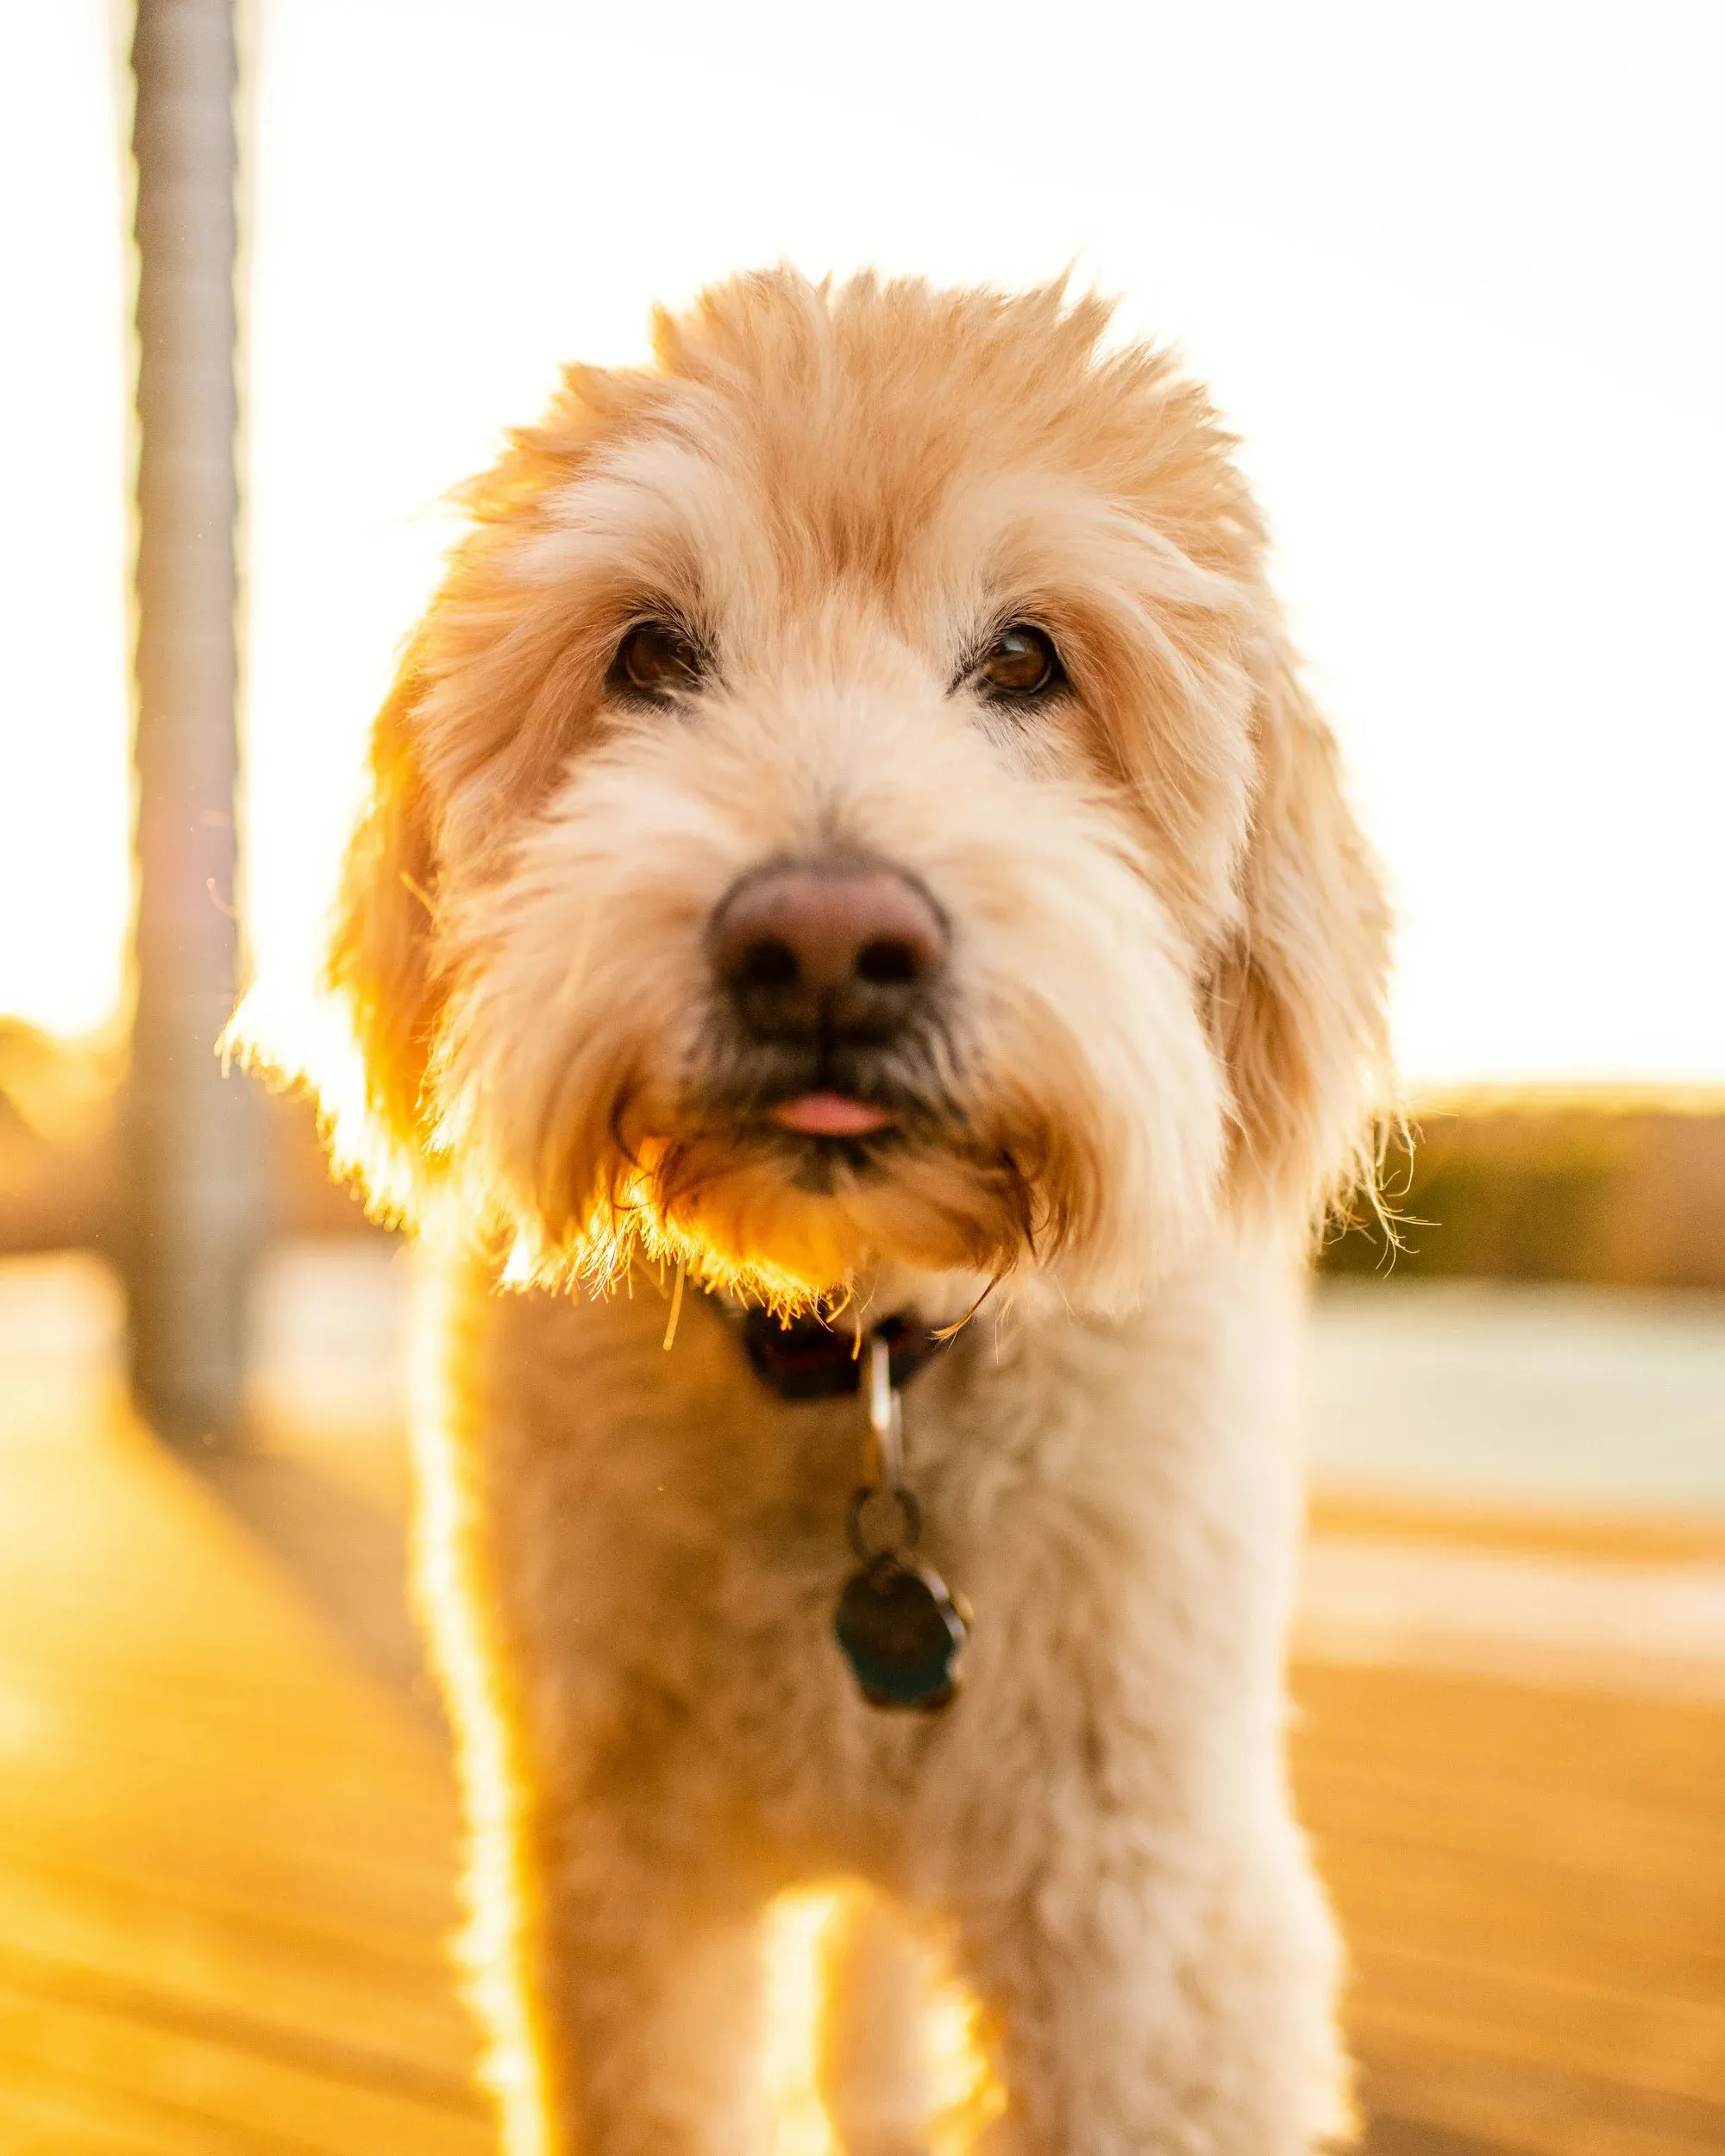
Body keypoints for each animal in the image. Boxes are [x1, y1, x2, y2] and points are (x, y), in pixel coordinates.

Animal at [273, 273, 1397, 2156]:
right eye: (649, 654)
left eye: (1026, 659)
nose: (818, 944)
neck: (857, 1356)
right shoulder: (613, 1871)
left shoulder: (1136, 1912)